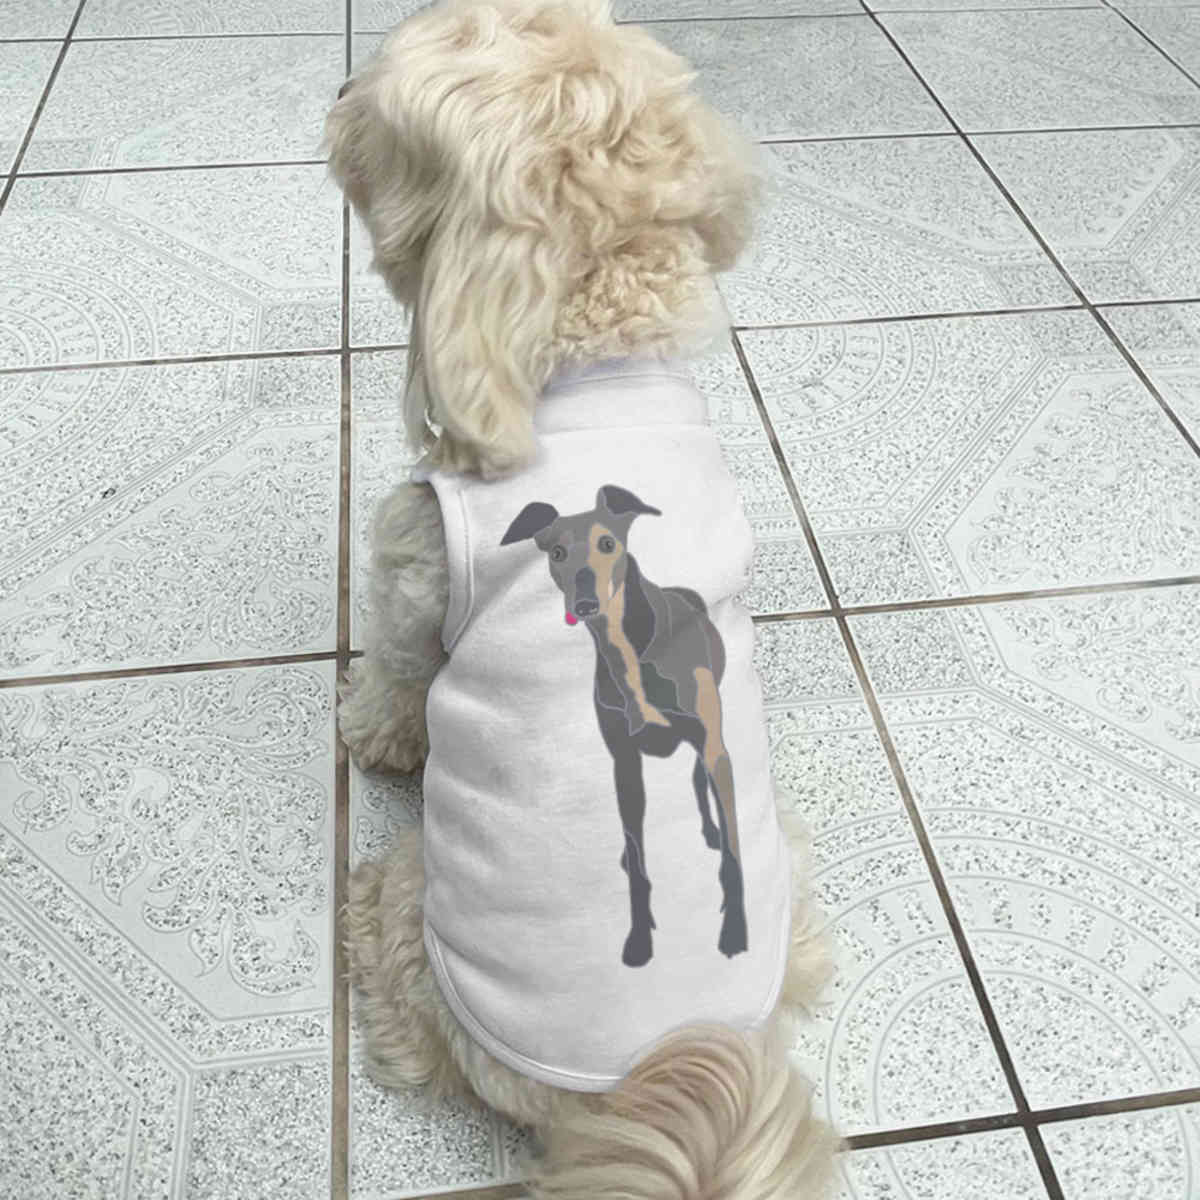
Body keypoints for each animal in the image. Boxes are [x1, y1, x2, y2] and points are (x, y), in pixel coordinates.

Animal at [325, 2, 838, 1195]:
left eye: (385, 122)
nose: (336, 99)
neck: (595, 354)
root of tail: (644, 1085)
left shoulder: (414, 571)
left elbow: (396, 683)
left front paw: (367, 732)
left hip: (417, 928)